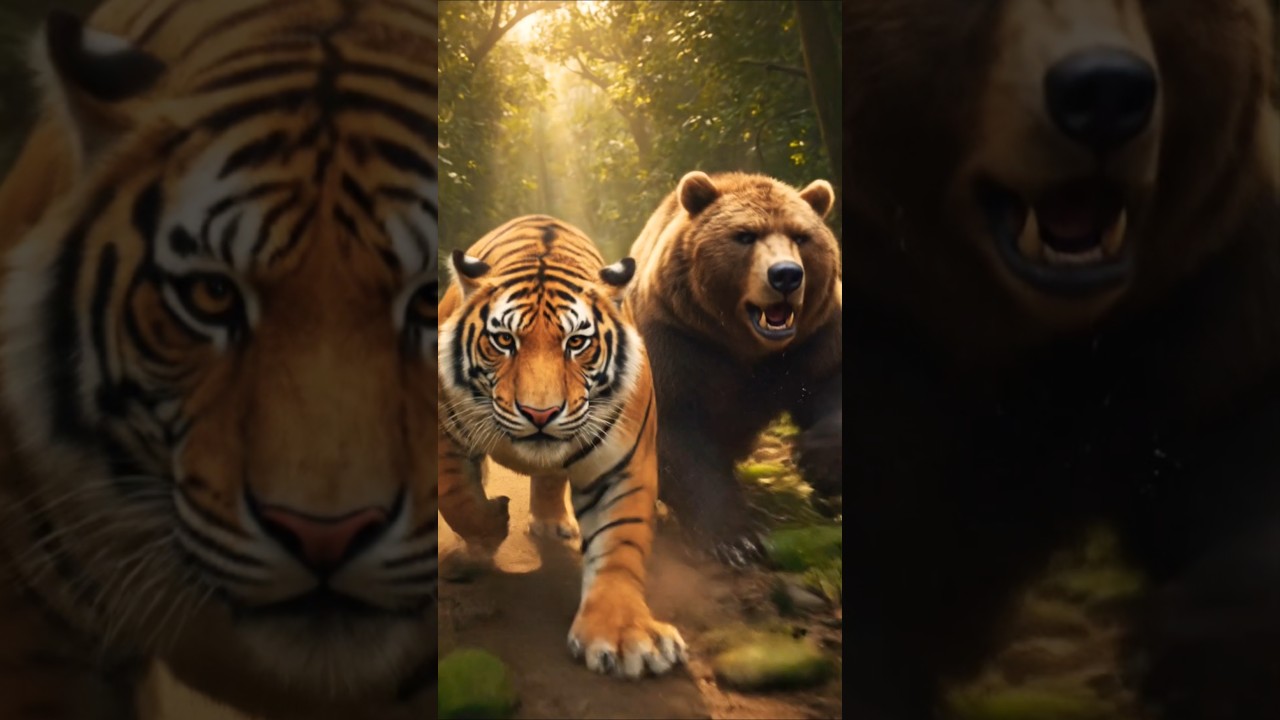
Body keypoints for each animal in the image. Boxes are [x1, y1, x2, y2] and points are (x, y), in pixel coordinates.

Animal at [437, 215, 688, 679]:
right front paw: (490, 527)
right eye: (504, 341)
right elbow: (456, 499)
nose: (541, 413)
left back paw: (553, 524)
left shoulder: (622, 466)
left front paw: (625, 635)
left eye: (577, 343)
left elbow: (619, 542)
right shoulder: (443, 434)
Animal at [626, 171, 843, 564]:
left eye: (801, 236)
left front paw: (817, 460)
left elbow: (830, 382)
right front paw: (736, 539)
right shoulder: (679, 339)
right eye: (745, 235)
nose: (786, 275)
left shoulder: (812, 338)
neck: (745, 346)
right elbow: (678, 434)